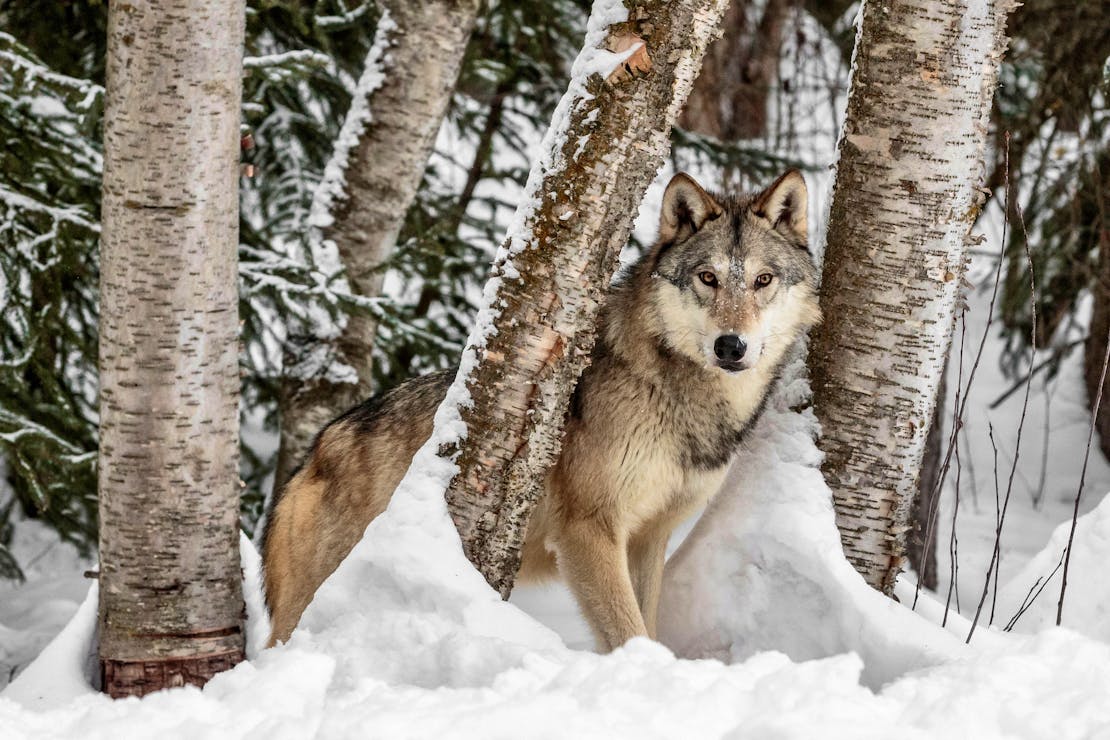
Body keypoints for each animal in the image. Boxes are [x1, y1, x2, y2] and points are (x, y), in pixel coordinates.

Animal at [262, 170, 821, 650]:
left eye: (763, 280)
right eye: (707, 278)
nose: (732, 346)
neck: (676, 393)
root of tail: (316, 451)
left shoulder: (649, 537)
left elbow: (647, 622)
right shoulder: (588, 530)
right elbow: (630, 632)